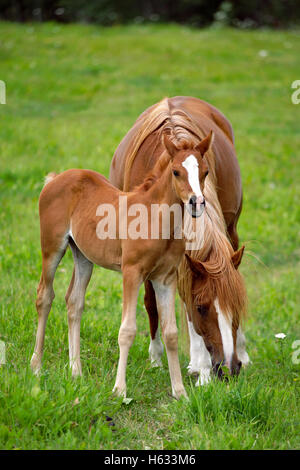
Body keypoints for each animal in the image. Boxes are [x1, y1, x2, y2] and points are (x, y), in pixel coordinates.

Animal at [30, 134, 209, 398]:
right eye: (176, 171)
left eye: (205, 172)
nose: (197, 203)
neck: (155, 219)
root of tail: (55, 178)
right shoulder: (131, 273)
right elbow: (127, 330)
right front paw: (119, 390)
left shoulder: (165, 278)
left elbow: (171, 334)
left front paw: (180, 393)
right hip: (52, 248)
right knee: (44, 296)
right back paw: (36, 366)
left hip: (83, 256)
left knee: (74, 302)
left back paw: (76, 372)